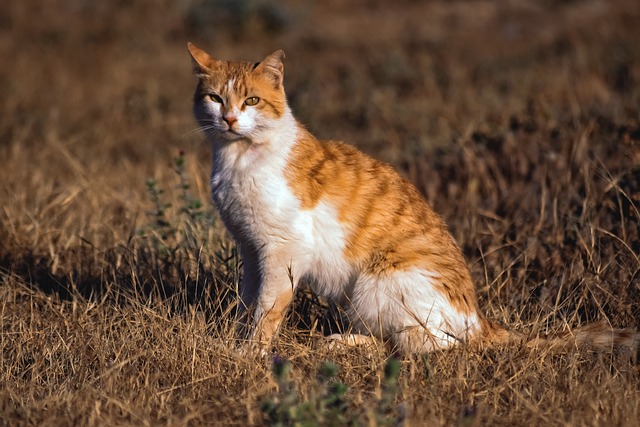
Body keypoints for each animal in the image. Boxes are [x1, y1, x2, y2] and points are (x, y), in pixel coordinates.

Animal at [186, 42, 640, 354]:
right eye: (215, 98)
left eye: (252, 100)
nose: (230, 118)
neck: (237, 160)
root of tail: (481, 319)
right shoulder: (251, 249)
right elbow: (247, 302)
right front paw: (233, 342)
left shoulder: (284, 250)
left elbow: (267, 310)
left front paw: (249, 353)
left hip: (378, 282)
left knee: (426, 344)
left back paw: (346, 344)